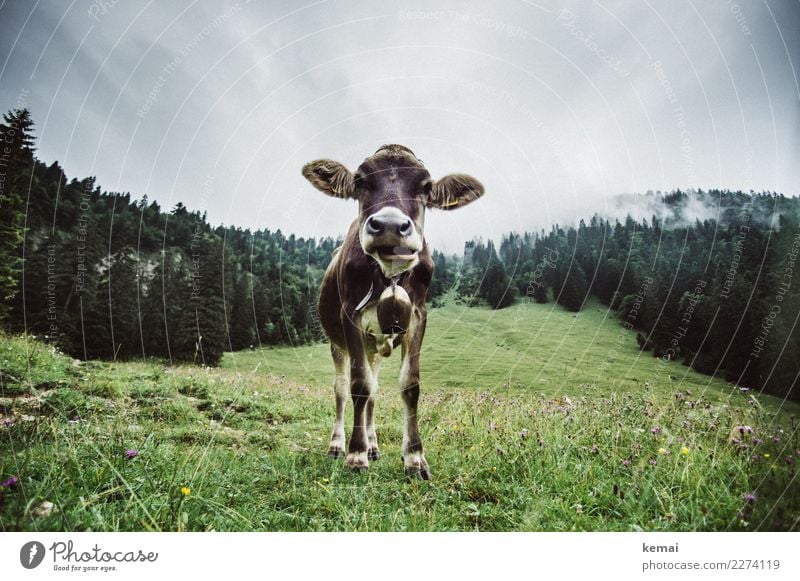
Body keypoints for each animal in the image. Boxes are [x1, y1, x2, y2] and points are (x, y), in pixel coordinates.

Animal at [304, 144, 484, 476]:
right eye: (360, 181)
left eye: (426, 186)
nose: (388, 225)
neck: (389, 274)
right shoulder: (350, 316)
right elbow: (358, 385)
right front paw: (356, 454)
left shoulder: (417, 316)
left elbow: (408, 384)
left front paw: (414, 457)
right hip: (338, 343)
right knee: (342, 388)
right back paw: (338, 445)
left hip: (374, 347)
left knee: (374, 390)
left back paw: (374, 445)